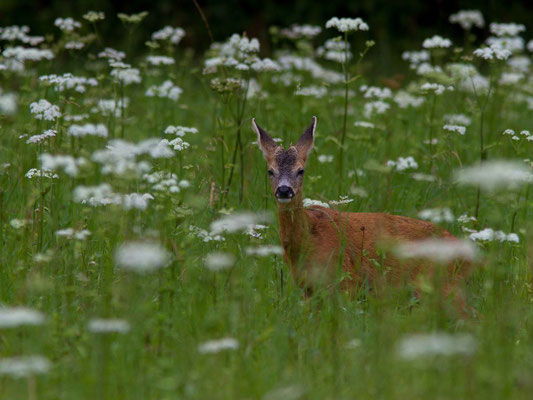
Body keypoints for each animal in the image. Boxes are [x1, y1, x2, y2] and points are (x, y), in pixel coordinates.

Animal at [251, 115, 472, 310]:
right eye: (270, 171)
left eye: (301, 170)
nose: (284, 190)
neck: (308, 241)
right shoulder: (307, 289)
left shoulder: (347, 281)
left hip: (445, 287)